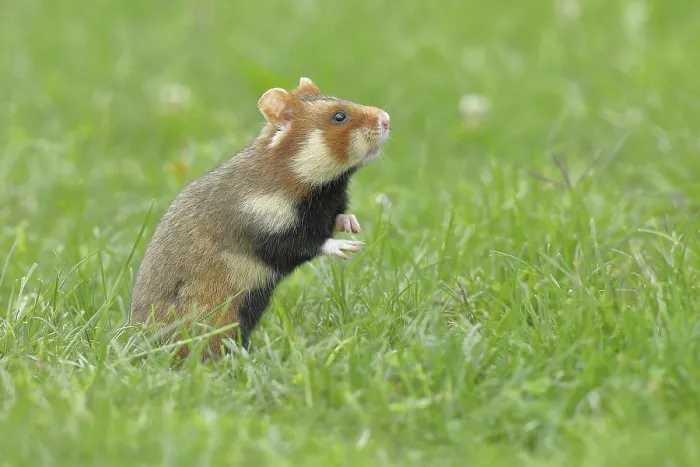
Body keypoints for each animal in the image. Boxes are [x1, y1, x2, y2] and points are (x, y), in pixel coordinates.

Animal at [129, 77, 391, 359]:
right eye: (339, 116)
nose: (386, 119)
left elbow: (335, 218)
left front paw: (351, 224)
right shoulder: (265, 228)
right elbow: (308, 243)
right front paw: (346, 246)